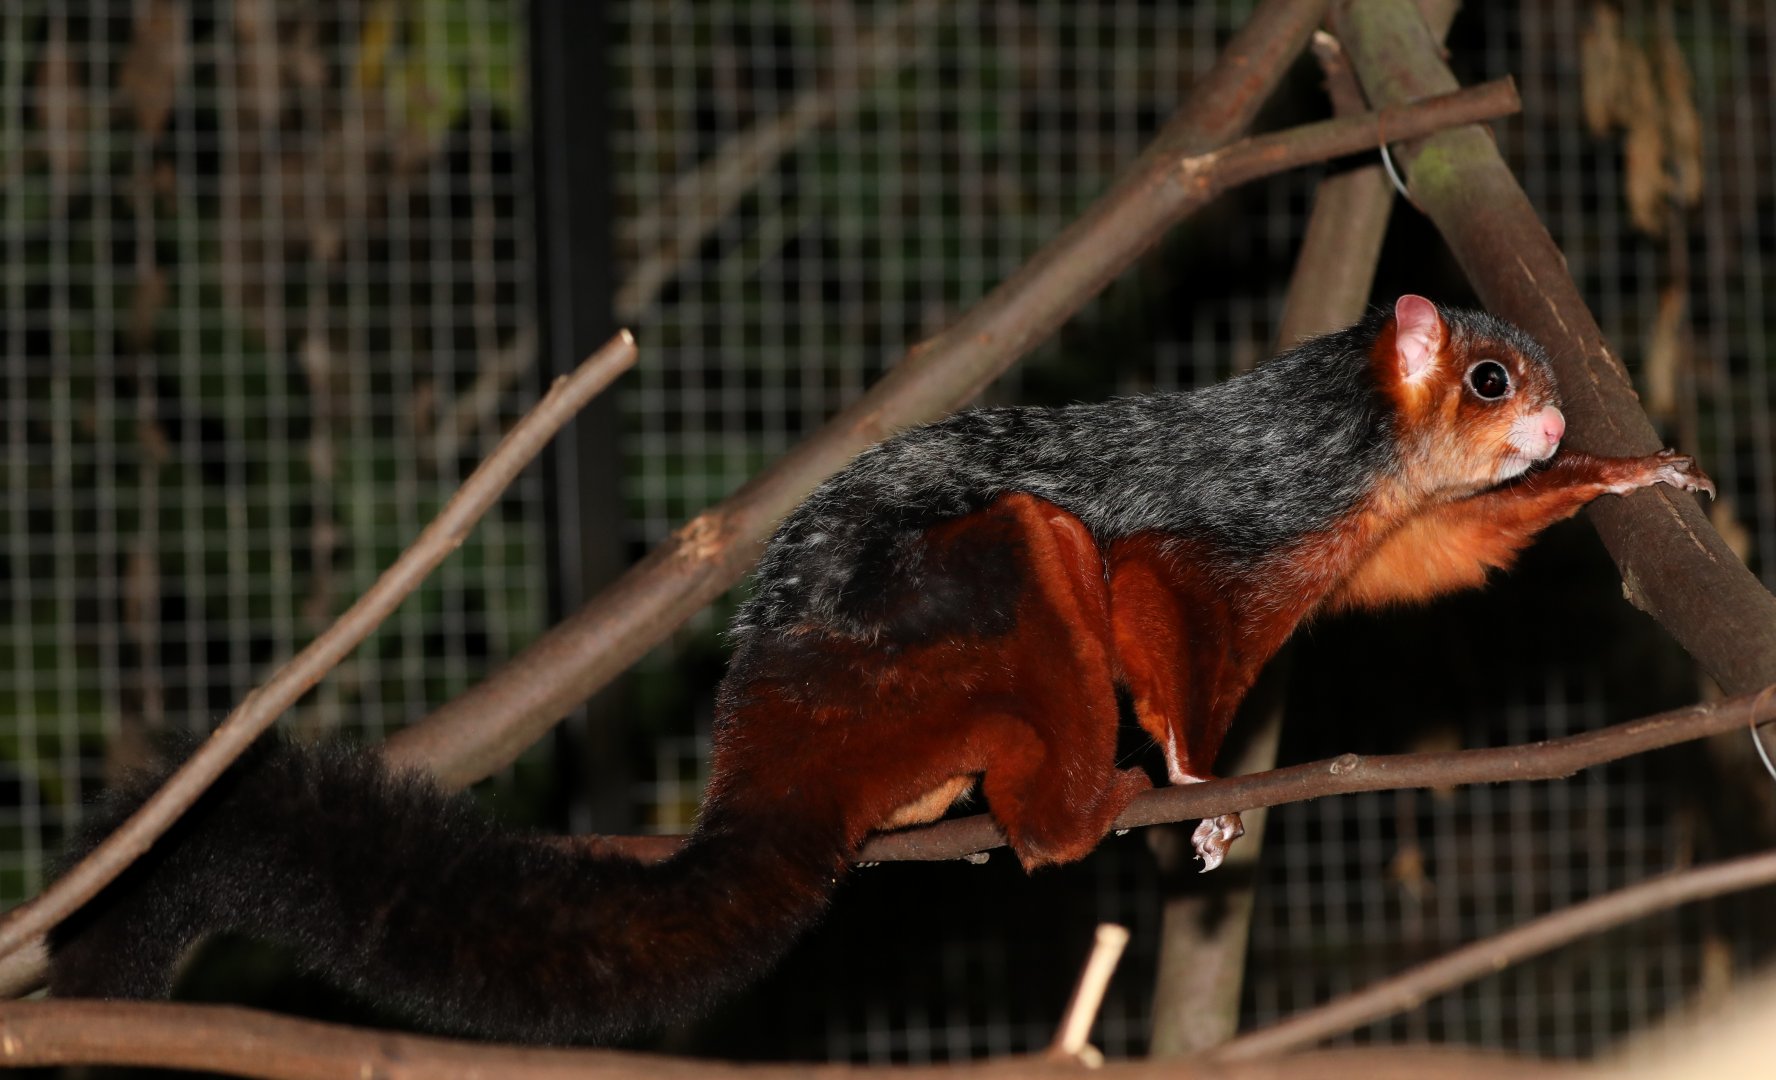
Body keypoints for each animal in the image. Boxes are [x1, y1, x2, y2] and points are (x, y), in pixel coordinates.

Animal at [47, 296, 1714, 1044]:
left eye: (1538, 386)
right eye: (1492, 380)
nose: (1551, 421)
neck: (1354, 446)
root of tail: (768, 728)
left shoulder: (1378, 528)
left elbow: (1445, 556)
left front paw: (1624, 478)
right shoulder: (1266, 509)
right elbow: (1156, 589)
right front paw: (1195, 777)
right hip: (924, 635)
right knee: (1040, 539)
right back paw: (1065, 807)